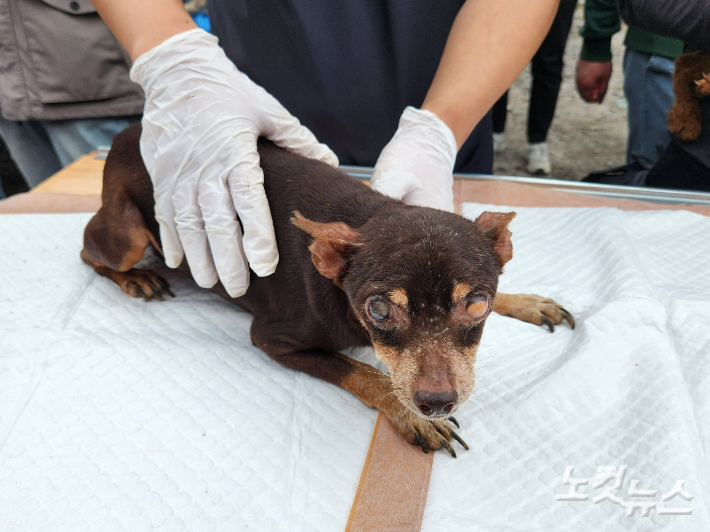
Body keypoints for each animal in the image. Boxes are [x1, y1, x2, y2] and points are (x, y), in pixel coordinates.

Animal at [83, 122, 576, 456]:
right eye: (378, 310)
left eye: (477, 304)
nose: (436, 402)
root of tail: (129, 131)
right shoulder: (271, 338)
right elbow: (364, 373)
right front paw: (410, 417)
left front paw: (528, 301)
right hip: (129, 236)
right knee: (89, 249)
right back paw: (134, 277)